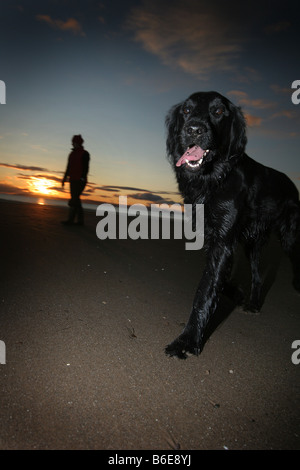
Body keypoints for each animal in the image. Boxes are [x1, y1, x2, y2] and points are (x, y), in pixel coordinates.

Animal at [165, 90, 300, 358]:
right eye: (186, 110)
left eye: (218, 112)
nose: (193, 129)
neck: (213, 178)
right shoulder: (213, 239)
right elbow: (217, 280)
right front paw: (236, 293)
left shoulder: (223, 241)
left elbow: (204, 292)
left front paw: (187, 341)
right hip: (253, 245)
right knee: (257, 276)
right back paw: (254, 303)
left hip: (288, 237)